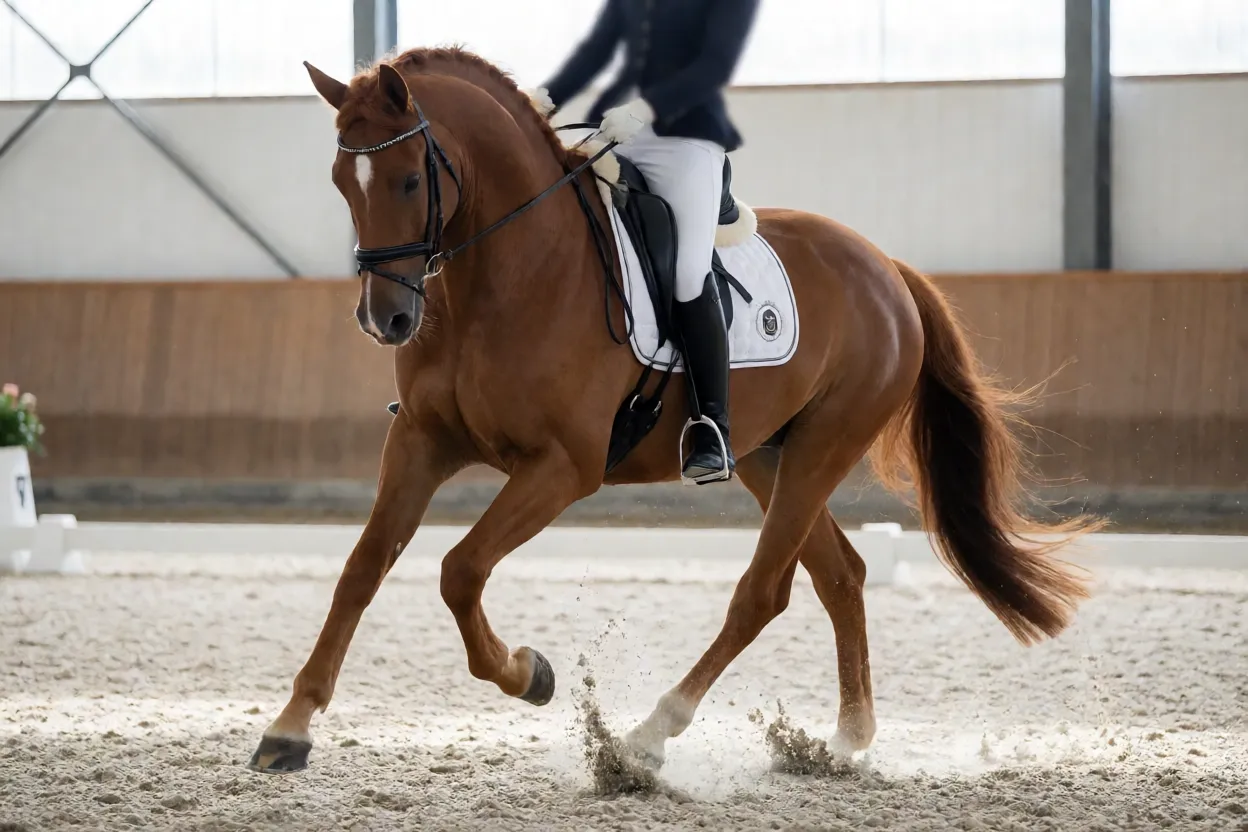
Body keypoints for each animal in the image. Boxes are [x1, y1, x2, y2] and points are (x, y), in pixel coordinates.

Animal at [247, 46, 1098, 775]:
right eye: (341, 180)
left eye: (406, 181)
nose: (385, 318)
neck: (506, 273)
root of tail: (885, 267)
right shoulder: (422, 441)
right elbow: (361, 569)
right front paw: (289, 728)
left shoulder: (563, 467)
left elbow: (461, 570)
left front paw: (529, 673)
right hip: (768, 454)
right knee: (841, 575)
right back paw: (847, 739)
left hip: (823, 446)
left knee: (763, 593)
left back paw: (646, 738)